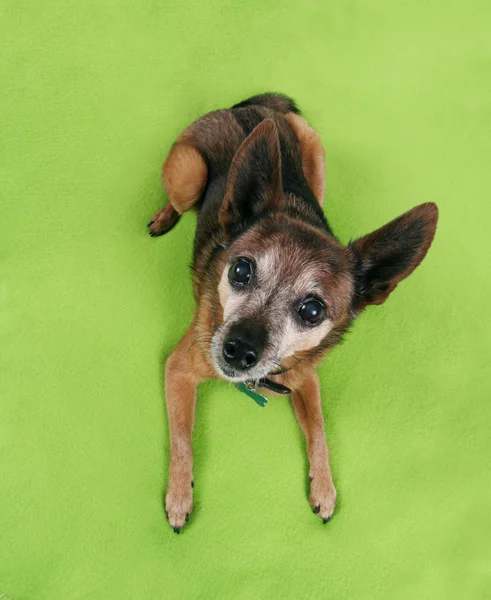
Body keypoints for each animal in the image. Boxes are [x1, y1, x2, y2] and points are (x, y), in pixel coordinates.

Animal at [148, 94, 440, 536]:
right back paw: (164, 217)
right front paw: (180, 496)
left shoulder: (306, 380)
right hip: (188, 172)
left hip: (316, 156)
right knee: (179, 199)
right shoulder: (179, 367)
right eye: (240, 270)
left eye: (313, 310)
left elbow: (319, 433)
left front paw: (325, 489)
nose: (238, 350)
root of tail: (248, 108)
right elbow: (182, 440)